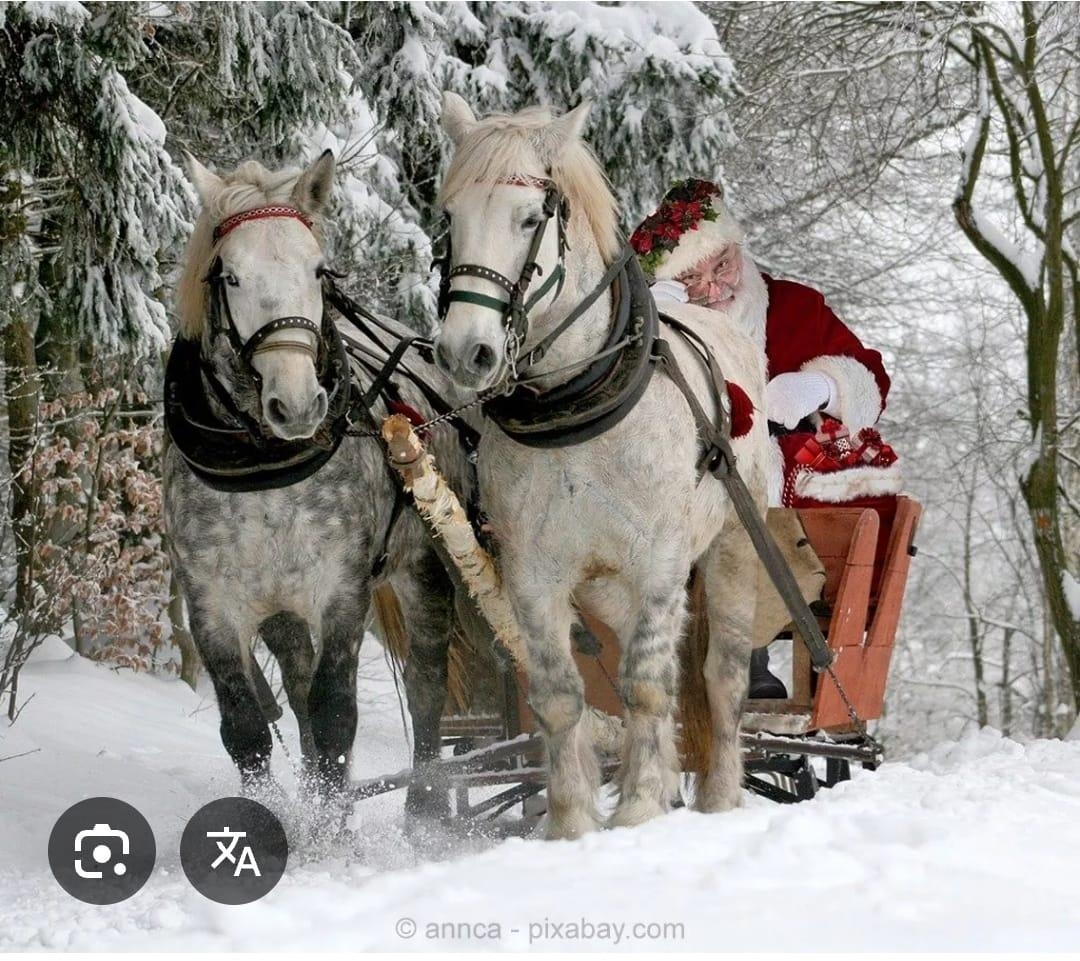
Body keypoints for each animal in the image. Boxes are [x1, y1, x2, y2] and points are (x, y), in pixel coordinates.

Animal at [434, 93, 773, 833]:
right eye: (450, 218)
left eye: (530, 218)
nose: (464, 353)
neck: (575, 409)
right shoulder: (533, 574)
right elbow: (562, 695)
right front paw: (572, 822)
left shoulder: (660, 564)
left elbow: (645, 685)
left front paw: (640, 808)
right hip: (605, 588)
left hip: (734, 548)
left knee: (721, 677)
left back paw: (719, 796)